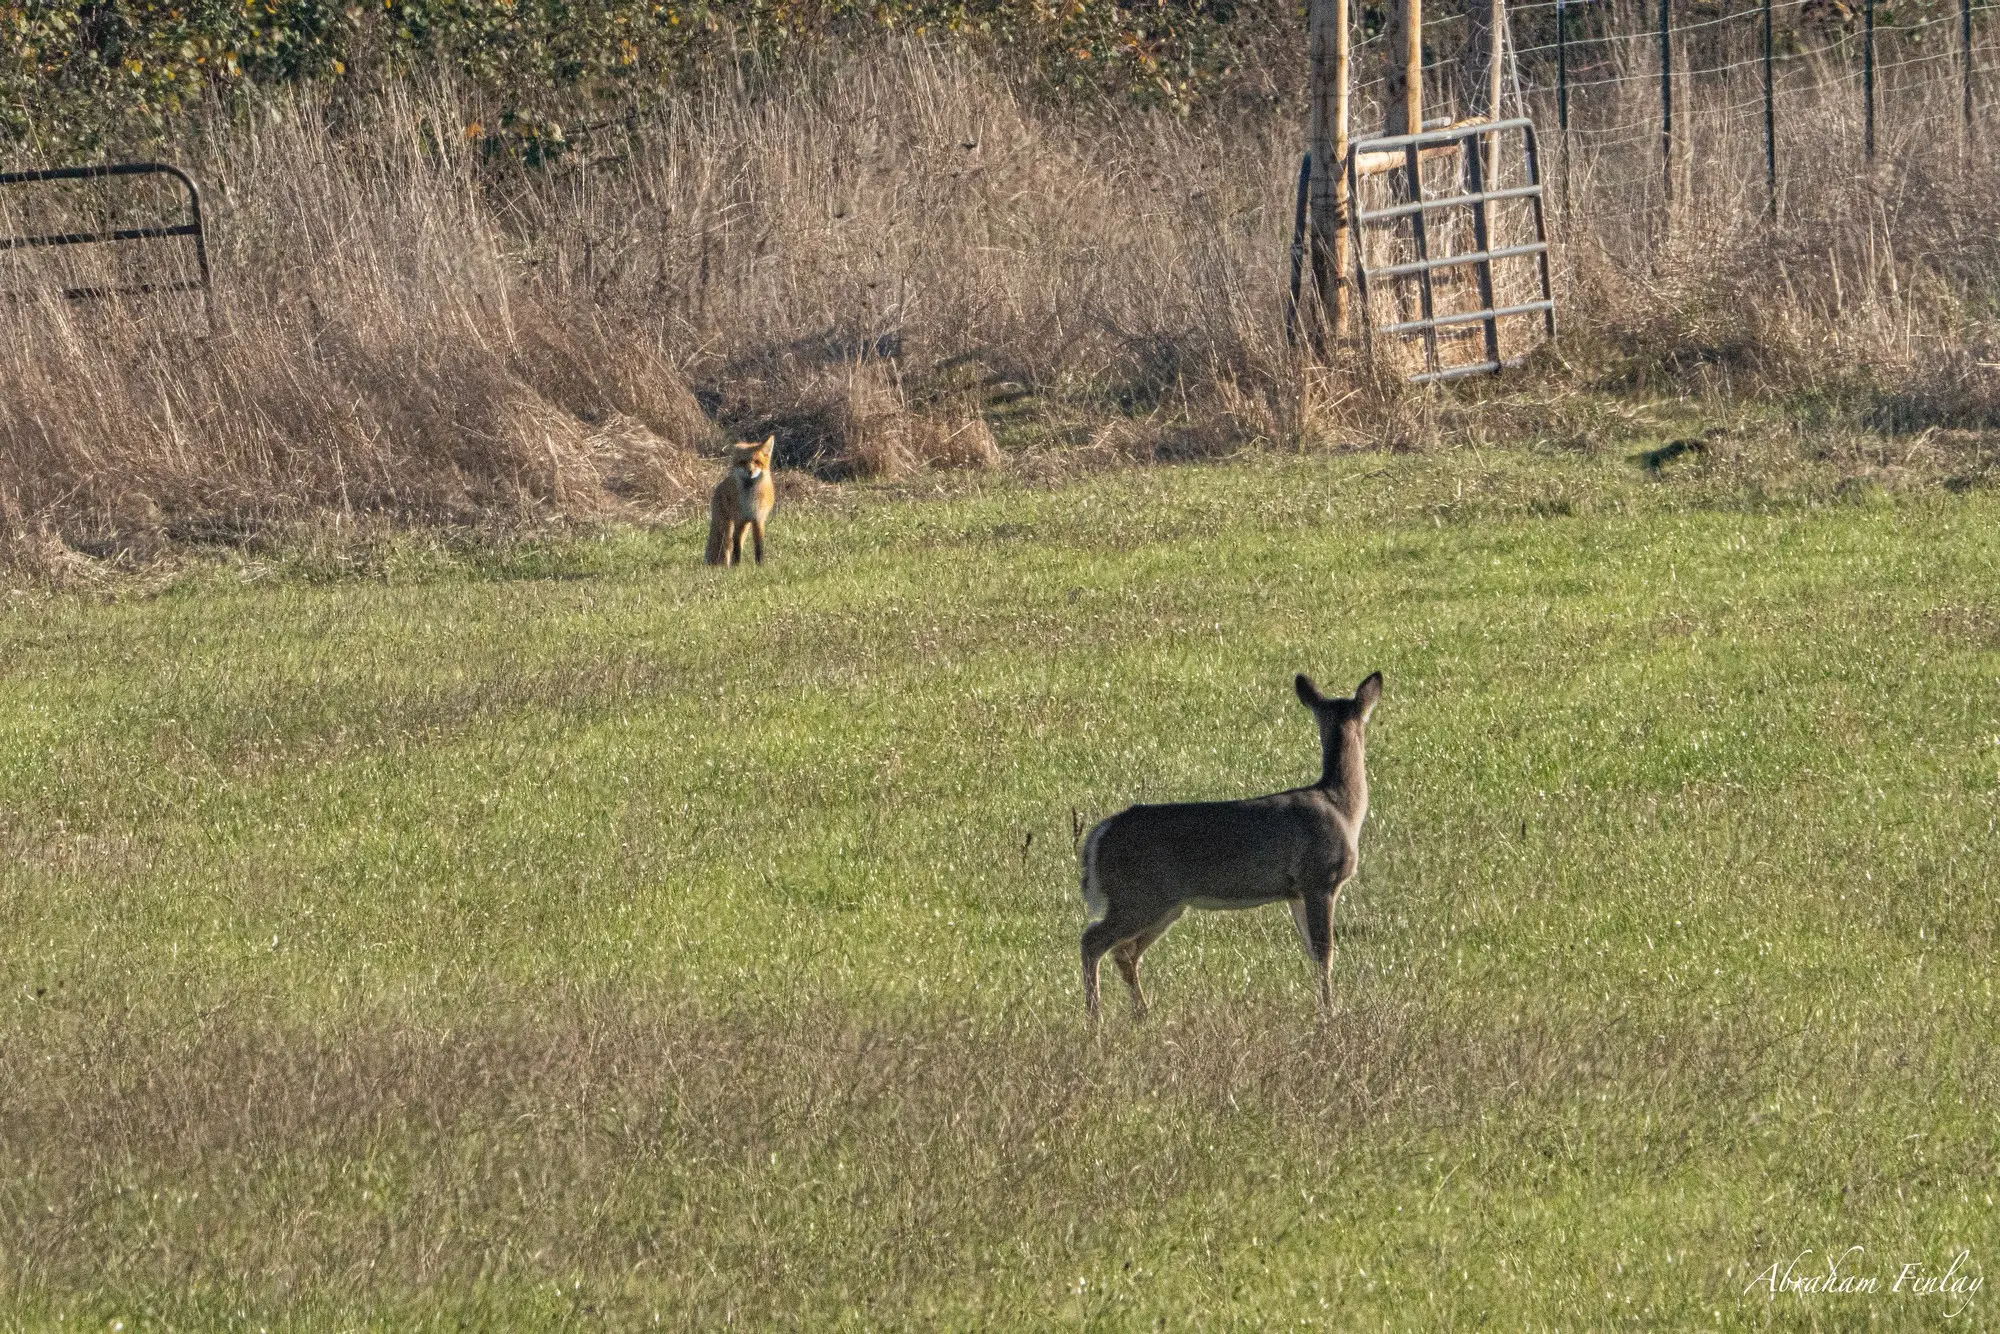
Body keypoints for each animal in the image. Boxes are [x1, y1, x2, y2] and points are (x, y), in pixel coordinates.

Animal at [705, 436, 776, 567]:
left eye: (757, 462)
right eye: (743, 462)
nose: (750, 471)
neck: (750, 499)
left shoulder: (758, 520)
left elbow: (759, 546)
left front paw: (760, 565)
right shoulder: (739, 520)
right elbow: (736, 547)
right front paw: (737, 566)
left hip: (745, 526)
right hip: (726, 527)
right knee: (727, 545)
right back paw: (725, 565)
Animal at [1079, 671, 1383, 1022]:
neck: (1342, 806)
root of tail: (1098, 836)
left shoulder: (1295, 892)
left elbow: (1311, 950)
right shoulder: (1320, 878)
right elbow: (1324, 952)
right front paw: (1329, 1013)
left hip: (1164, 903)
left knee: (1123, 952)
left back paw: (1142, 1014)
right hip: (1138, 895)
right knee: (1093, 941)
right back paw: (1095, 1019)